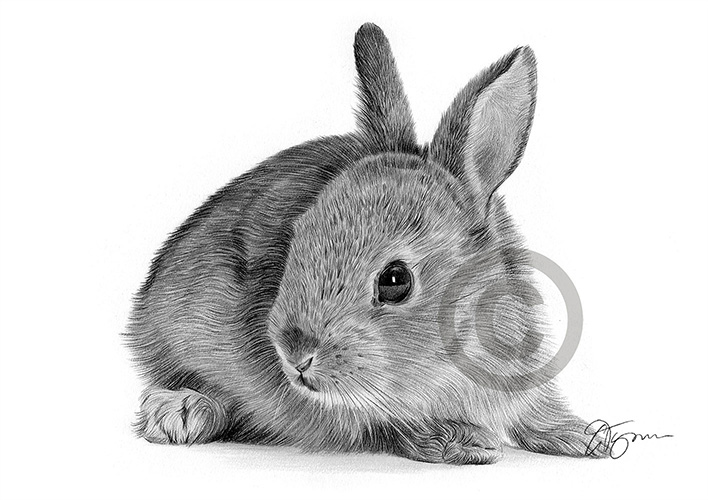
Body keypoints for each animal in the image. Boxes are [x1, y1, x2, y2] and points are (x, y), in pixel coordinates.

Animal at [125, 22, 605, 465]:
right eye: (297, 236)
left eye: (395, 281)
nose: (295, 354)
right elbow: (384, 426)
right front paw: (460, 439)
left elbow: (535, 412)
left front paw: (586, 437)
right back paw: (181, 411)